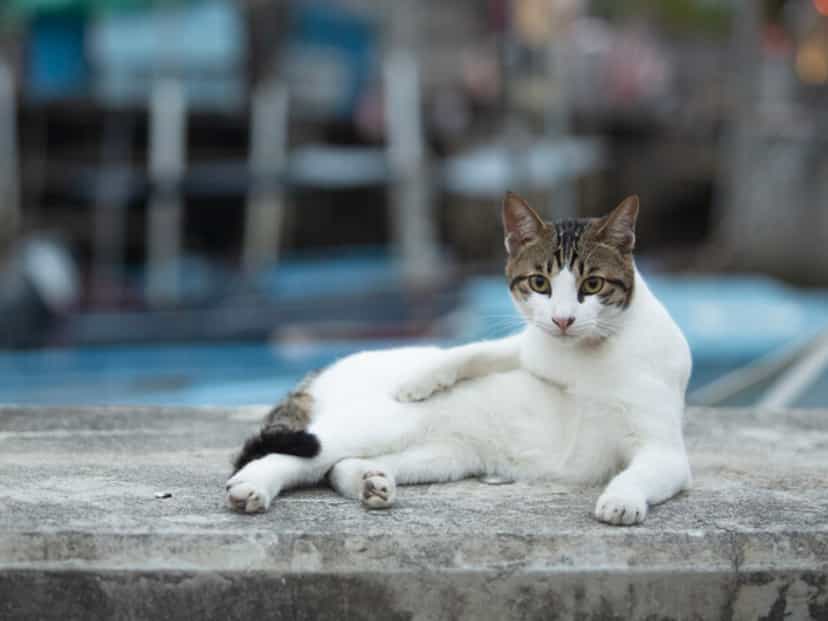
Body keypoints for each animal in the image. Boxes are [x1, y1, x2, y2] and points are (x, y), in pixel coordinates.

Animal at [226, 193, 692, 524]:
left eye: (592, 285)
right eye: (540, 283)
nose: (563, 319)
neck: (585, 356)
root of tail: (319, 373)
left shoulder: (664, 453)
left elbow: (637, 473)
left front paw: (621, 498)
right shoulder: (530, 345)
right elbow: (478, 350)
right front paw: (422, 378)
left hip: (441, 455)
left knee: (333, 467)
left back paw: (369, 482)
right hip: (376, 424)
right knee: (293, 455)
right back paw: (251, 486)